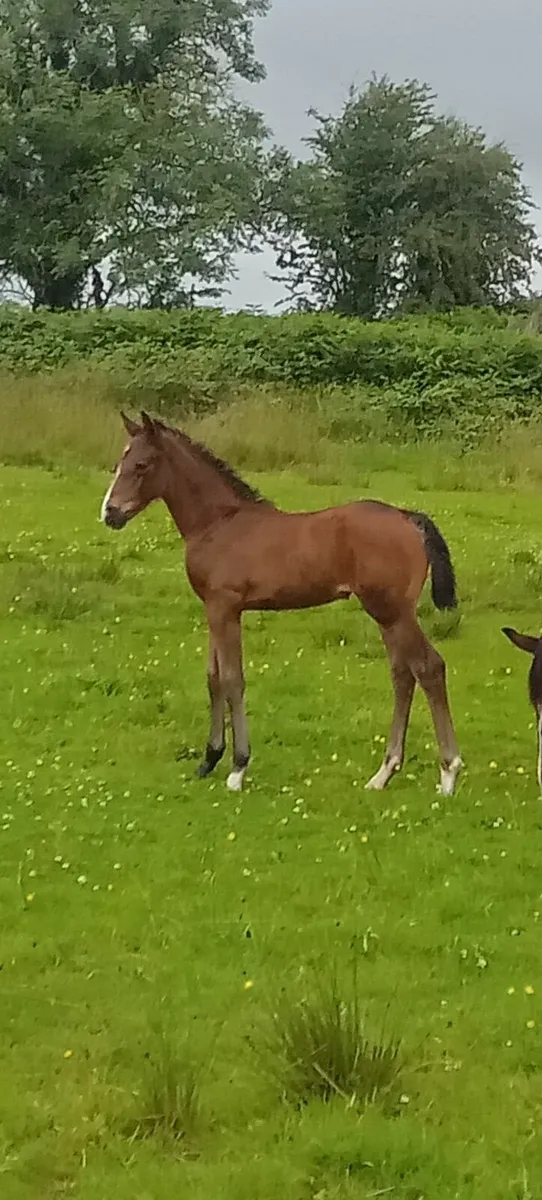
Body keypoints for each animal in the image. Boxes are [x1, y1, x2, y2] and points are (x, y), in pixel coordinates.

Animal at [101, 411, 462, 795]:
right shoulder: (214, 608)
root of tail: (408, 517)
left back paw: (448, 772)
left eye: (141, 465)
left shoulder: (225, 608)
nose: (110, 514)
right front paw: (209, 759)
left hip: (393, 612)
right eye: (119, 462)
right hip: (387, 614)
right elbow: (214, 677)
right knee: (403, 674)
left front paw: (238, 768)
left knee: (428, 668)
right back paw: (383, 773)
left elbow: (233, 679)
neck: (218, 524)